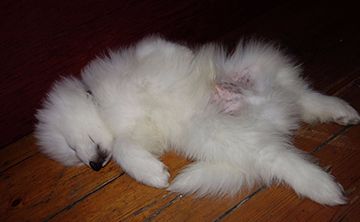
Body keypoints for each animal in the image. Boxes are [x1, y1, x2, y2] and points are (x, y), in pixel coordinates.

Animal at [35, 36, 358, 205]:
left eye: (70, 146)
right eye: (75, 158)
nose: (94, 165)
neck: (101, 105)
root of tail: (275, 116)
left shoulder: (141, 53)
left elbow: (159, 48)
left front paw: (186, 55)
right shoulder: (140, 133)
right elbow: (126, 148)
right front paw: (152, 173)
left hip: (258, 66)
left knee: (296, 105)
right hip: (227, 135)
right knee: (293, 122)